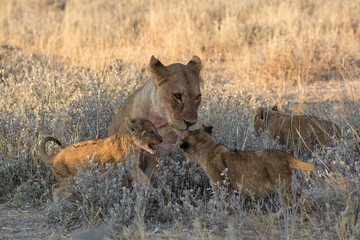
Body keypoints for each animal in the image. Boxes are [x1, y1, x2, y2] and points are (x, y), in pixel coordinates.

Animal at [179, 124, 314, 214]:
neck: (207, 146)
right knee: (302, 195)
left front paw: (222, 214)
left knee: (292, 201)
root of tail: (285, 154)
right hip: (289, 183)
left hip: (282, 185)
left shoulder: (220, 185)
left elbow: (222, 202)